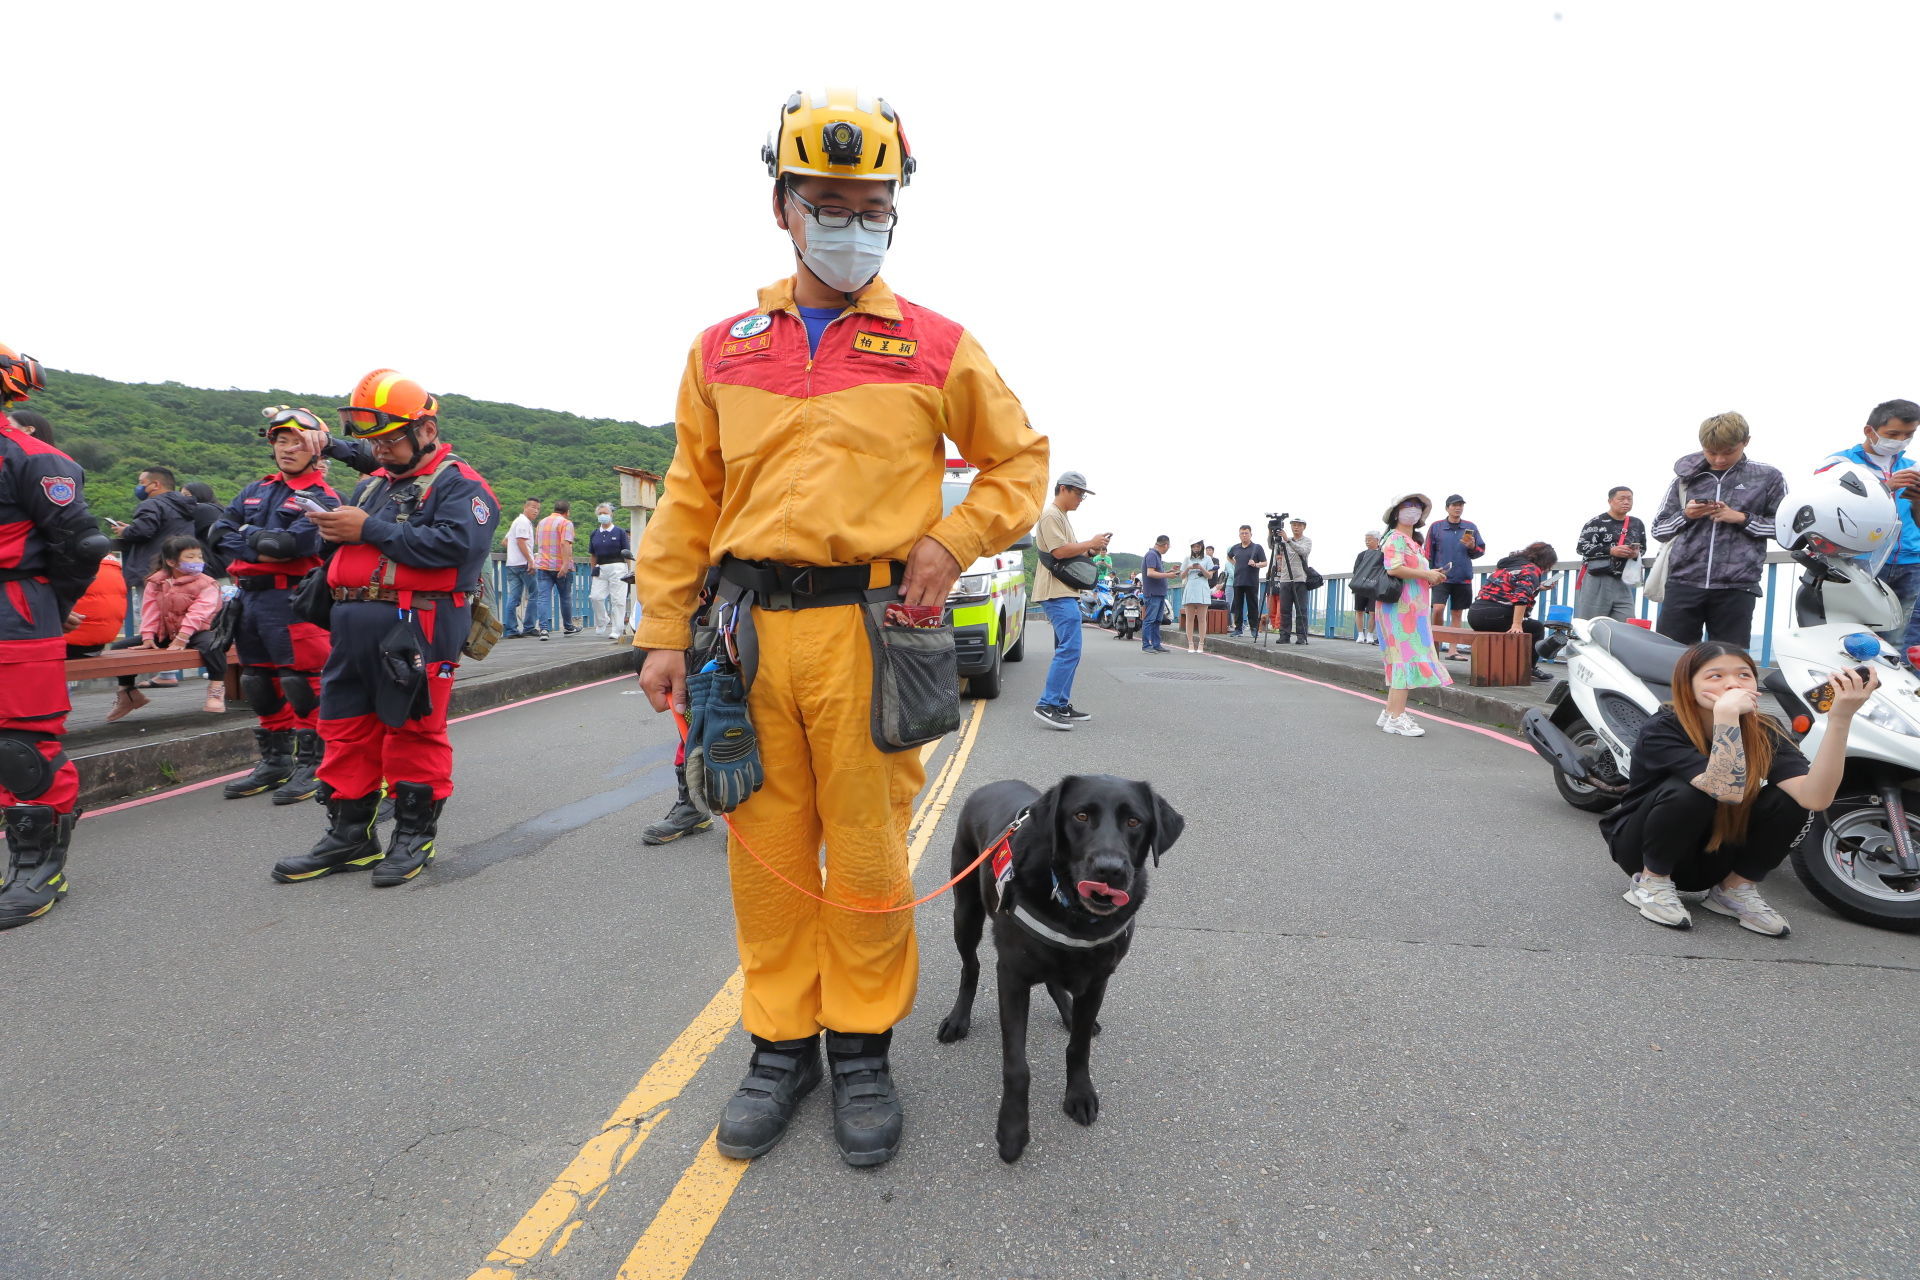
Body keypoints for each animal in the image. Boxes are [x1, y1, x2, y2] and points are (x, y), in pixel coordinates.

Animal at [933, 775, 1182, 1166]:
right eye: (1080, 815)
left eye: (1134, 821)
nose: (1110, 870)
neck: (1073, 914)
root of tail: (995, 783)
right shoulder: (1012, 977)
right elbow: (1017, 1067)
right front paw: (1013, 1130)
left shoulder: (1098, 980)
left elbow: (1078, 1047)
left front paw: (1079, 1093)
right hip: (966, 911)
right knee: (970, 966)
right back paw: (959, 1018)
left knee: (1055, 985)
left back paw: (1069, 1012)